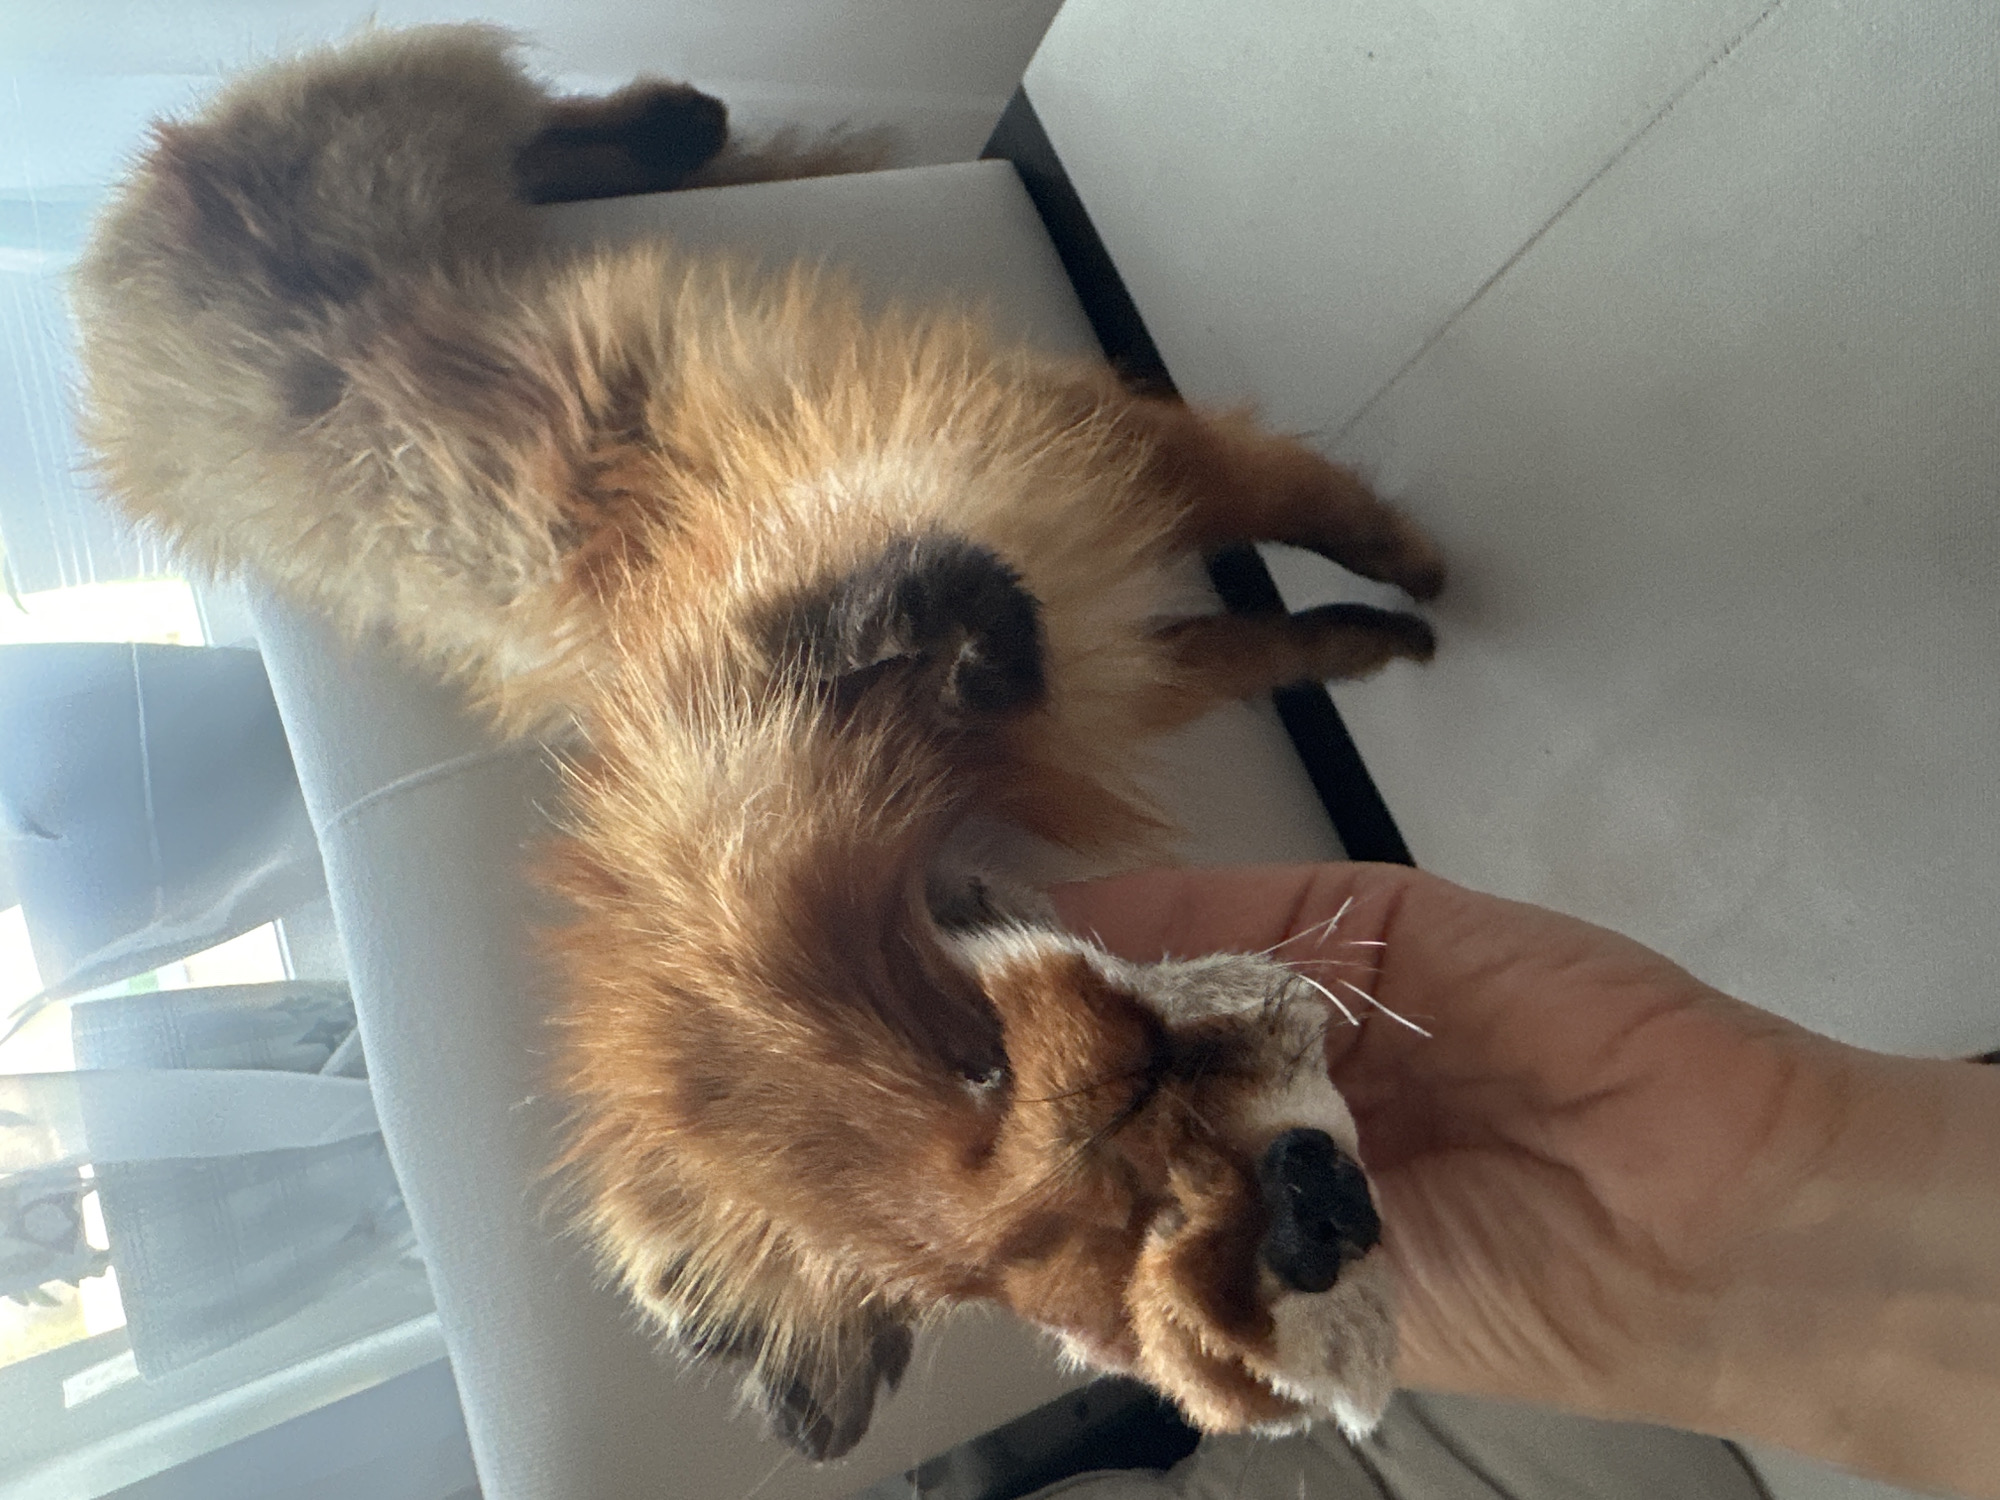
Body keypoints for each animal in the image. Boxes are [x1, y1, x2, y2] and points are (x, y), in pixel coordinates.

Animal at [73, 24, 1444, 1462]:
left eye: (988, 1055)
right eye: (1120, 1168)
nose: (1318, 1215)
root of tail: (110, 280)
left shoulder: (1073, 483)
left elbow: (1294, 502)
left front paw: (1417, 574)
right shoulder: (1113, 644)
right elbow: (1261, 633)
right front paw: (1369, 630)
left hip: (385, 146)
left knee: (524, 115)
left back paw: (666, 123)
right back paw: (665, 143)